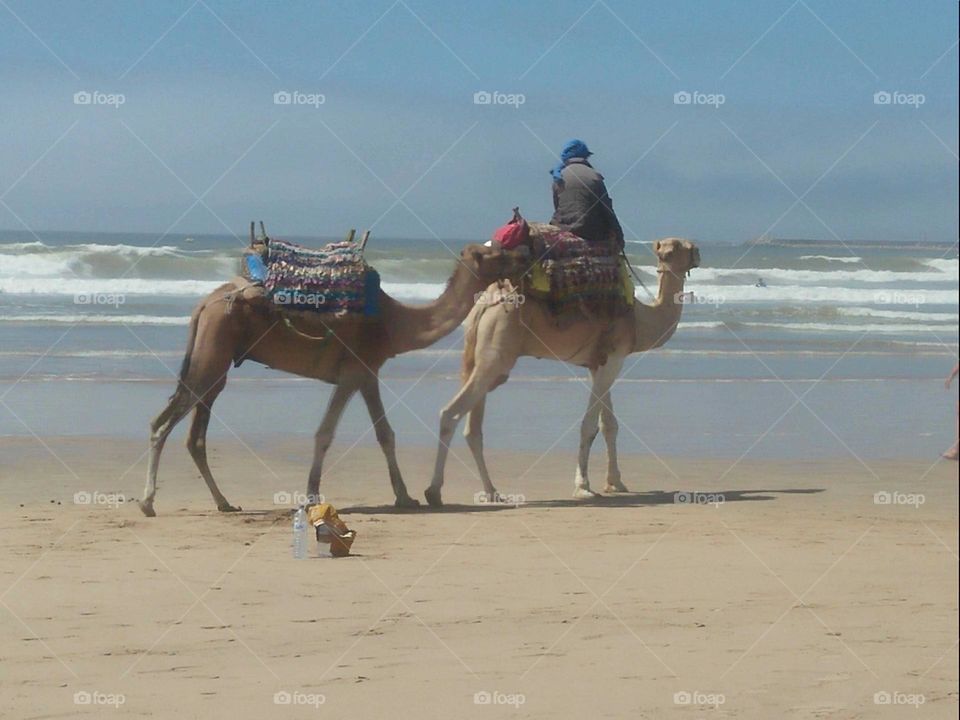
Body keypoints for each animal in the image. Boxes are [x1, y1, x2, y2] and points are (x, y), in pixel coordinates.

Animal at [138, 238, 520, 516]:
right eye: (492, 254)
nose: (521, 256)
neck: (394, 324)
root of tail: (203, 305)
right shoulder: (354, 372)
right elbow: (326, 433)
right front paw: (311, 496)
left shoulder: (367, 373)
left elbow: (386, 434)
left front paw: (405, 497)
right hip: (211, 357)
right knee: (163, 422)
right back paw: (148, 502)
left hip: (216, 365)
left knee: (194, 436)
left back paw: (224, 503)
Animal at [424, 238, 700, 506]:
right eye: (686, 246)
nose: (698, 254)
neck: (641, 320)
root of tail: (485, 303)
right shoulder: (614, 358)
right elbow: (589, 426)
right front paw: (583, 487)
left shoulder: (599, 363)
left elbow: (609, 424)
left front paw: (615, 483)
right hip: (496, 353)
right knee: (451, 413)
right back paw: (434, 491)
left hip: (478, 355)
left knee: (473, 428)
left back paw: (491, 491)